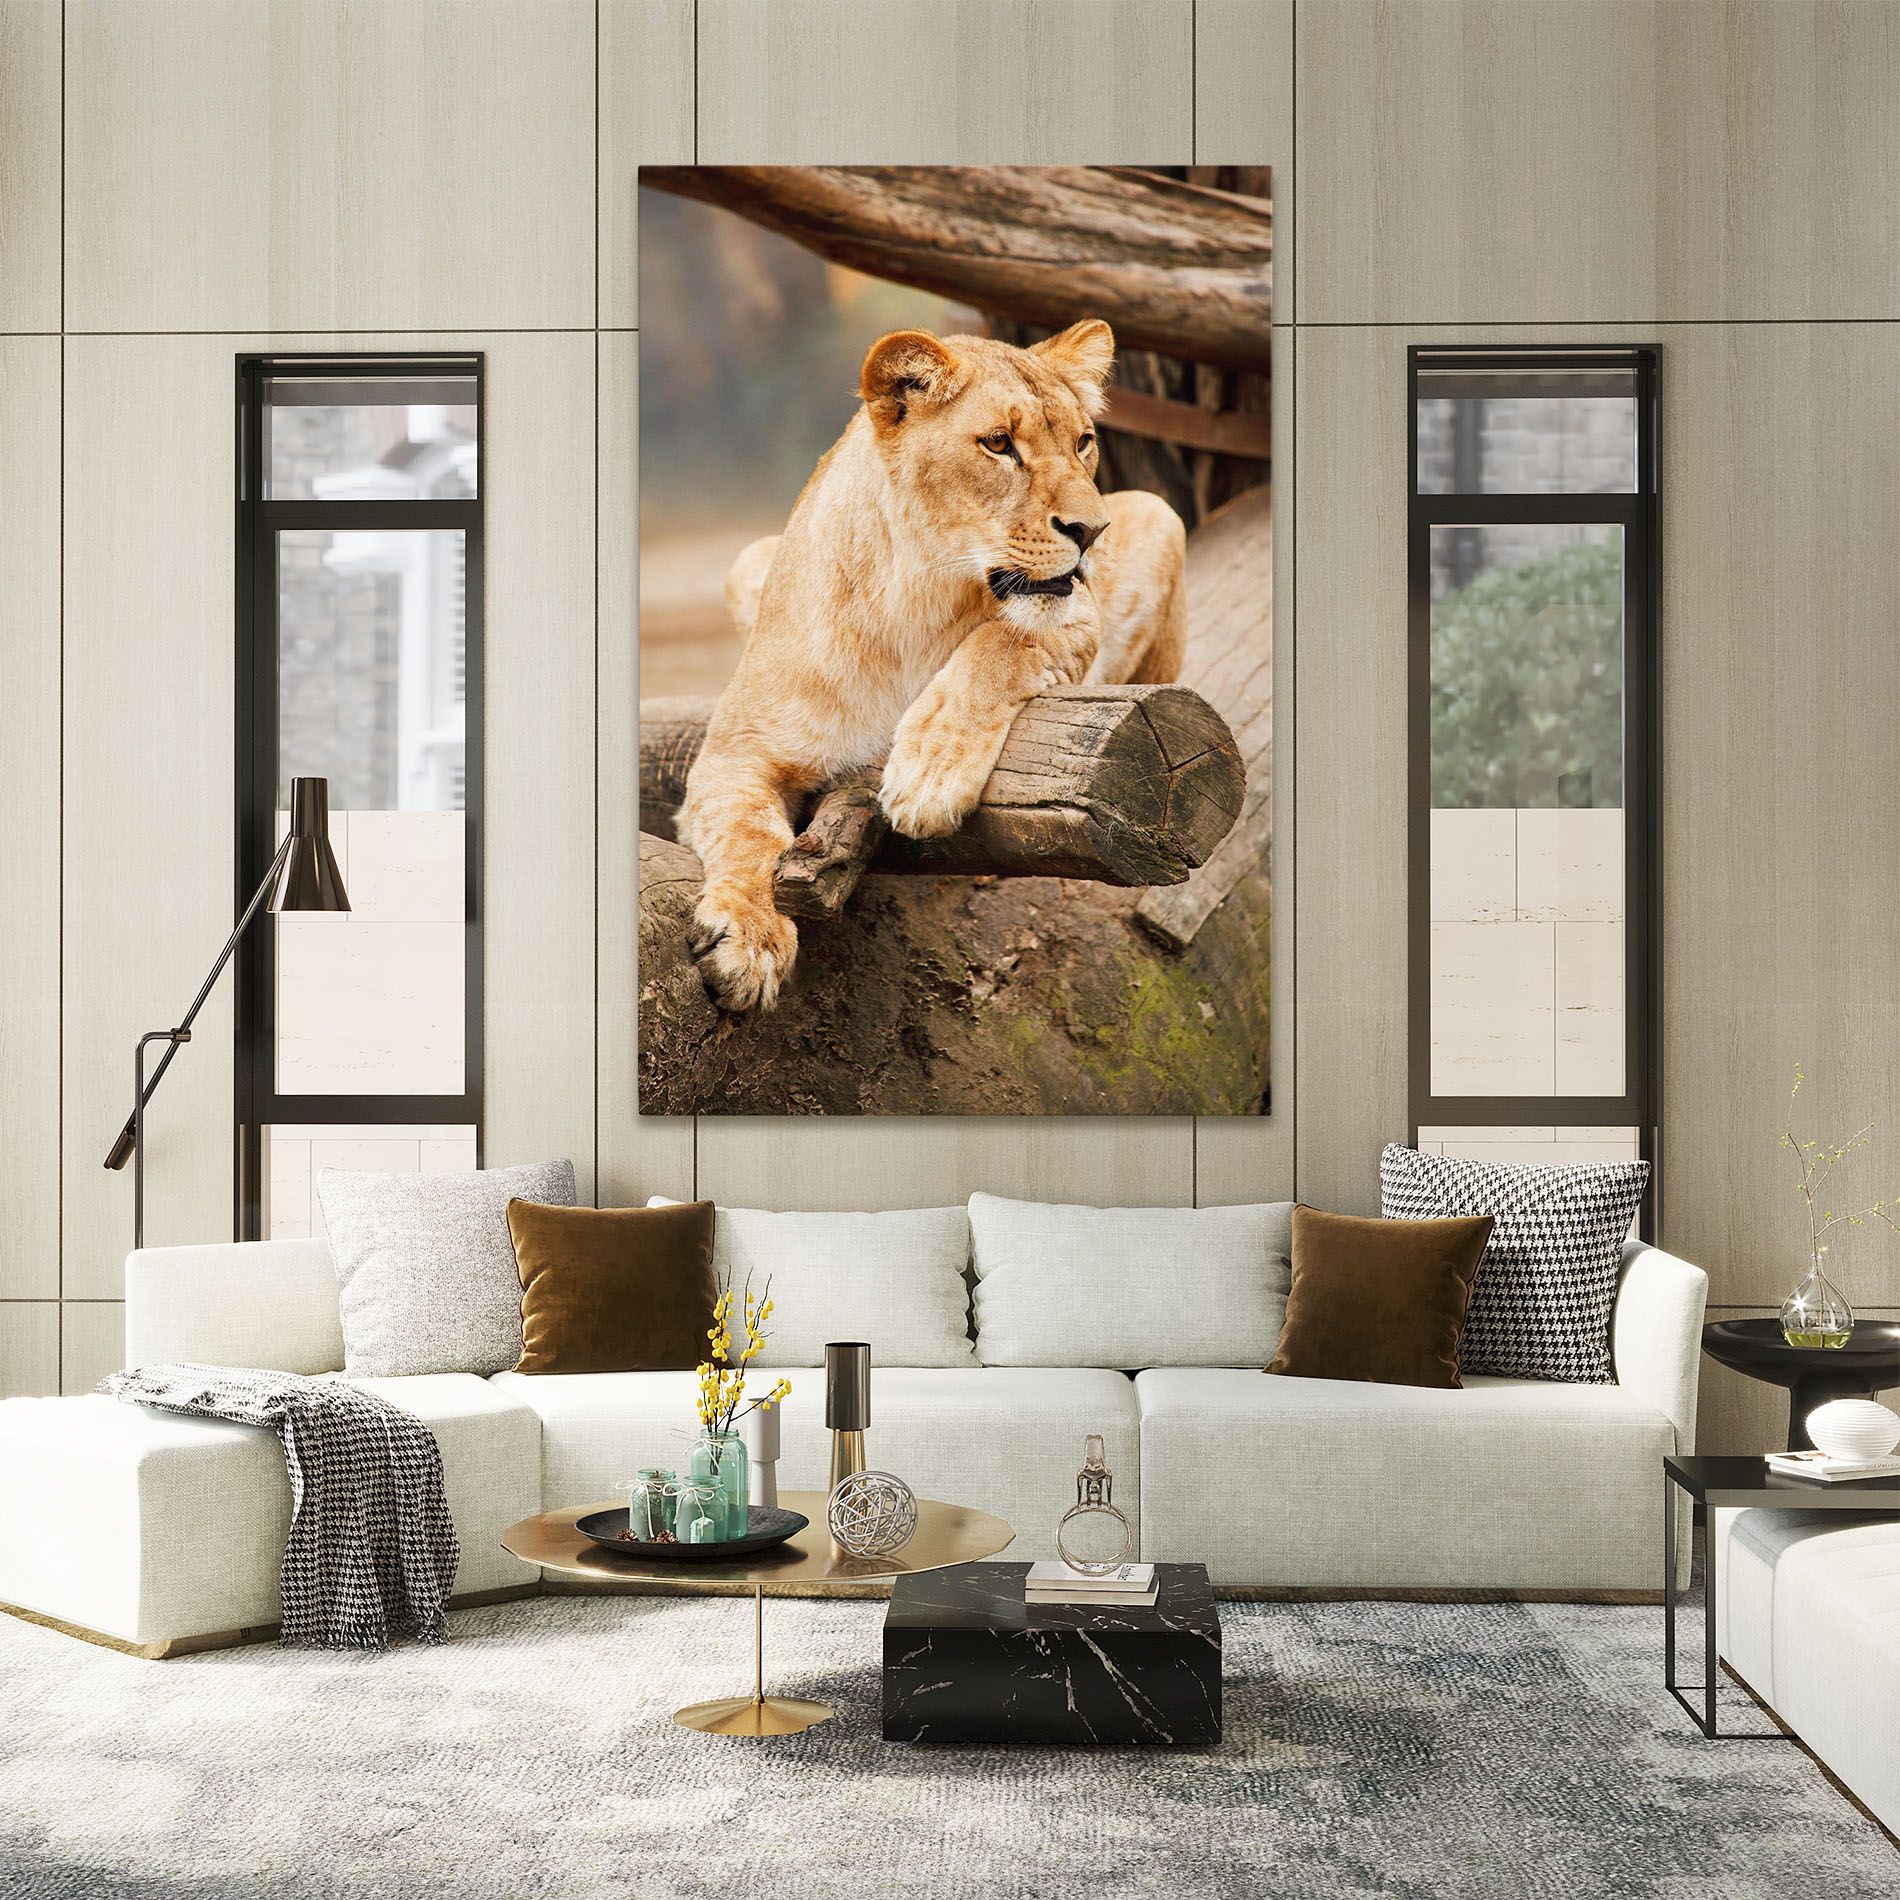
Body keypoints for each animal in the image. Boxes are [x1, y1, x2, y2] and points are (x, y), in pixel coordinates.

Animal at [674, 318, 1188, 1013]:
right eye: (999, 444)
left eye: (1083, 443)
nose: (1092, 531)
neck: (914, 599)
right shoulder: (734, 753)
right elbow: (747, 833)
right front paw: (749, 939)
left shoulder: (1078, 617)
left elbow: (1001, 642)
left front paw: (928, 775)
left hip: (1160, 515)